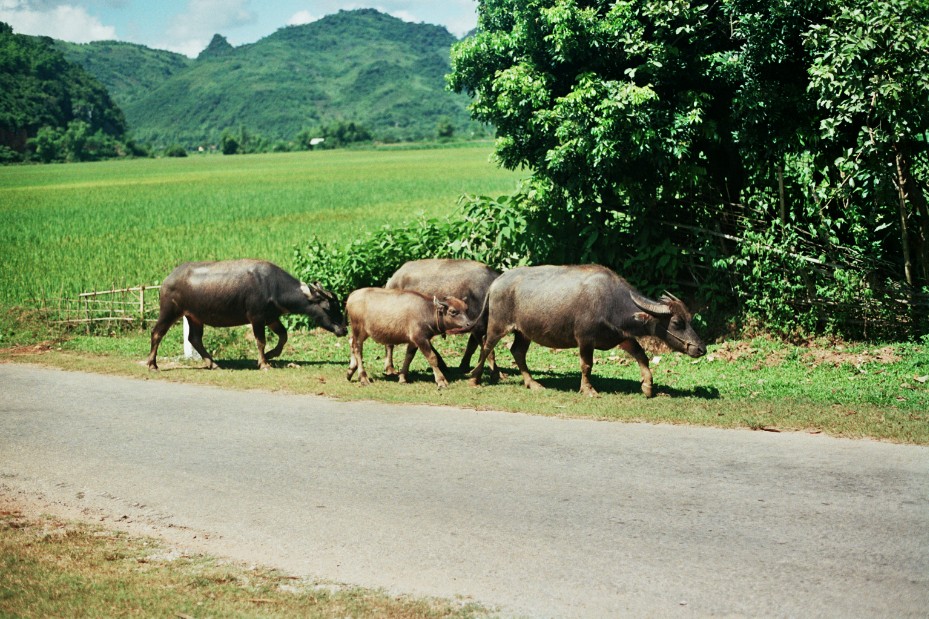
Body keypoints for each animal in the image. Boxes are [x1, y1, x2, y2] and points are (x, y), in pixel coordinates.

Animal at [147, 260, 346, 370]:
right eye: (329, 307)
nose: (343, 329)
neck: (273, 287)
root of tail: (166, 280)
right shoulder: (256, 318)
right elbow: (261, 341)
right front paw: (263, 363)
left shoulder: (271, 317)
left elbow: (283, 335)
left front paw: (271, 354)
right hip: (169, 311)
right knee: (157, 333)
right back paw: (152, 364)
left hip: (194, 317)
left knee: (194, 338)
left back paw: (213, 364)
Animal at [344, 288, 472, 390]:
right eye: (453, 311)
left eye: (466, 309)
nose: (469, 324)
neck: (427, 311)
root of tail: (352, 296)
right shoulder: (420, 338)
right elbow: (432, 358)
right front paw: (441, 381)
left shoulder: (413, 341)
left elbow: (409, 357)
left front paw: (402, 378)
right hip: (358, 329)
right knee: (357, 348)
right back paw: (363, 377)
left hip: (363, 332)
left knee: (351, 341)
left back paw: (350, 370)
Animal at [468, 266, 708, 398]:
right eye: (676, 322)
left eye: (689, 319)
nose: (701, 349)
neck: (612, 303)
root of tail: (496, 283)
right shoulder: (585, 339)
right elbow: (587, 365)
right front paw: (588, 389)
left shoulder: (622, 337)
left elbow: (642, 356)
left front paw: (648, 387)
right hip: (498, 325)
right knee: (487, 345)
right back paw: (475, 378)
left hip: (524, 331)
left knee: (517, 351)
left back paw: (533, 383)